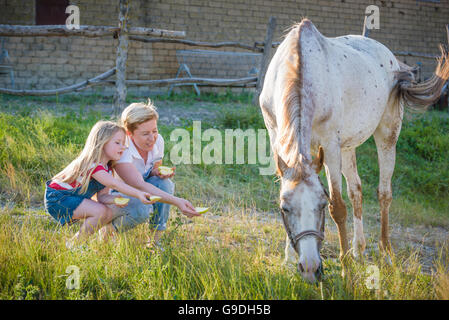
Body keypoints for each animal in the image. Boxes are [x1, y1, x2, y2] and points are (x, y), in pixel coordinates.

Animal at [260, 18, 448, 282]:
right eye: (285, 208)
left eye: (321, 205)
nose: (309, 268)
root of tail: (391, 57)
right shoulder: (277, 136)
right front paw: (288, 259)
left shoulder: (329, 146)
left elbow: (338, 207)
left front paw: (345, 268)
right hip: (347, 148)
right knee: (356, 190)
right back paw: (359, 249)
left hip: (387, 135)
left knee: (384, 194)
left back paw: (385, 254)